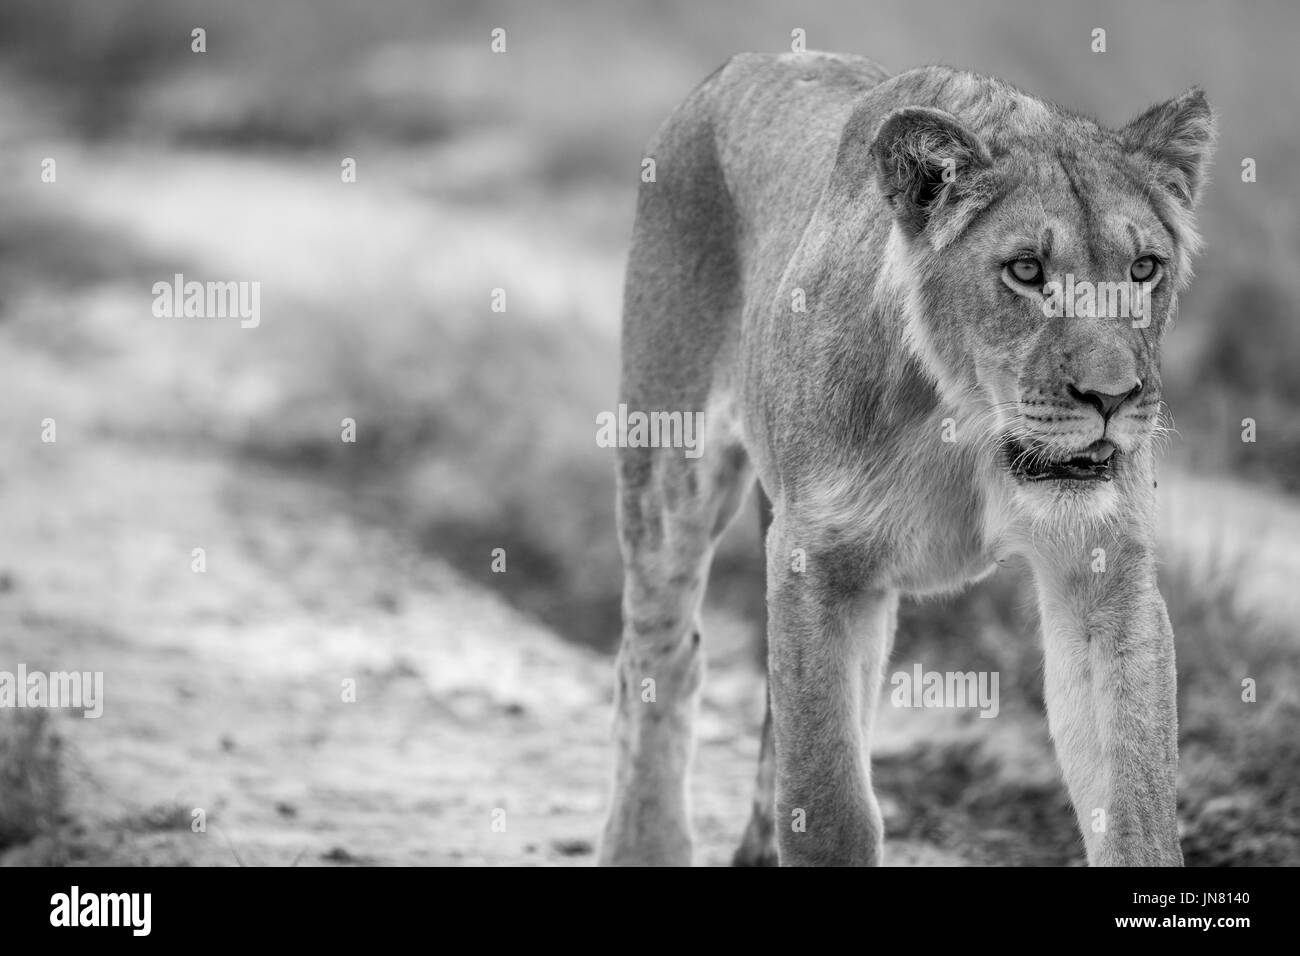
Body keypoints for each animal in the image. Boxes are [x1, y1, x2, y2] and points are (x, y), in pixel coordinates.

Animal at [597, 51, 1215, 866]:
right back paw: (644, 841)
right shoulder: (817, 561)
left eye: (1145, 268)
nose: (1112, 397)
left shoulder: (1103, 568)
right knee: (660, 654)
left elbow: (1136, 801)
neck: (966, 426)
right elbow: (830, 805)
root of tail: (741, 64)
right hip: (671, 467)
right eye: (1025, 271)